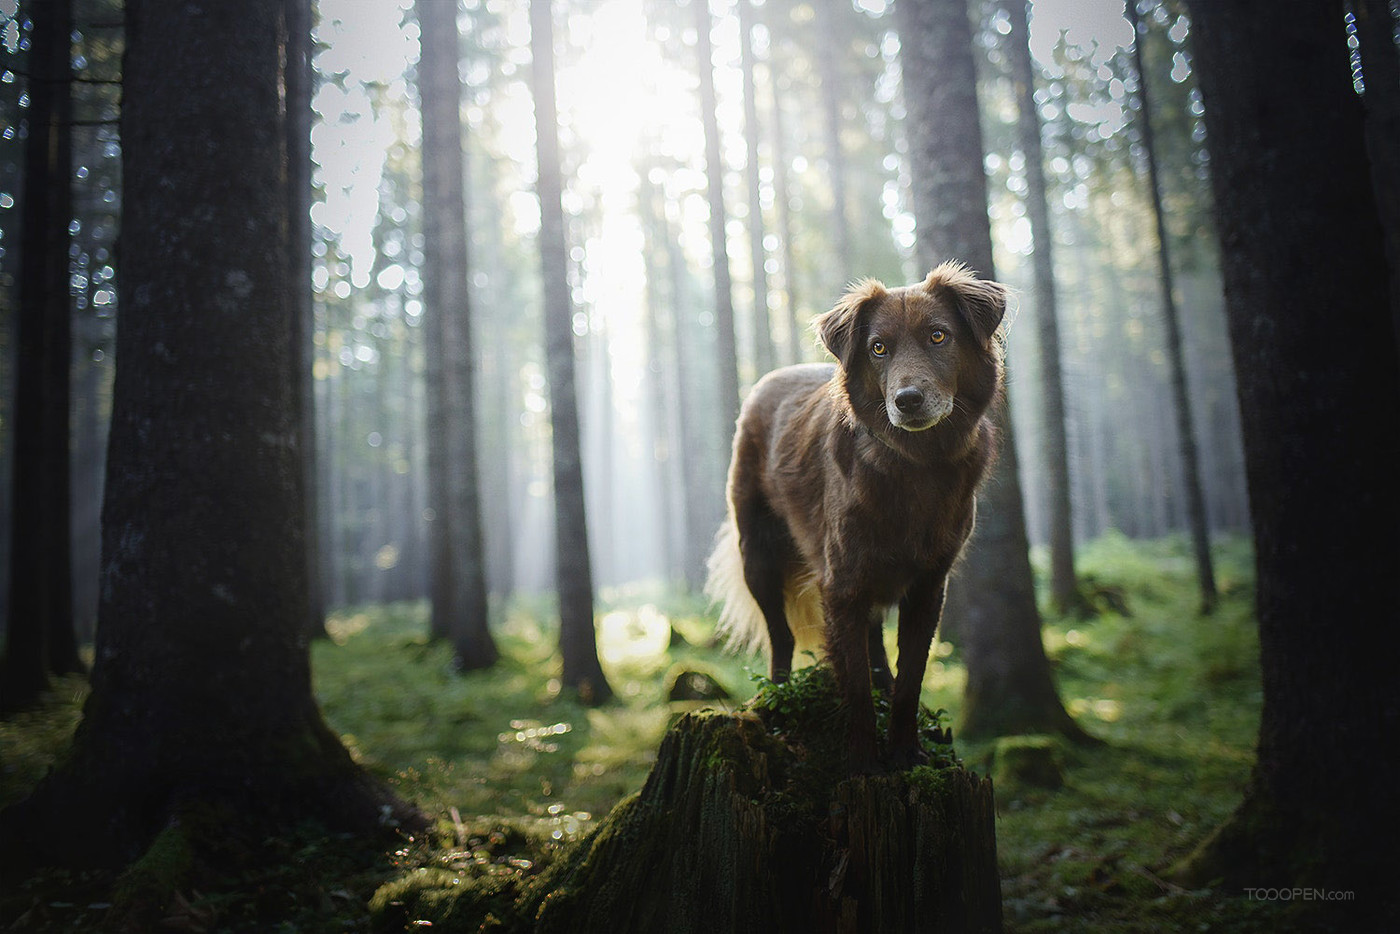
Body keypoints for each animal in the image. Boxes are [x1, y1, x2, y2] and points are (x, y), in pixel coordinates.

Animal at [711, 264, 1008, 772]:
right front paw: (865, 760)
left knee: (873, 643)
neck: (917, 464)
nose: (907, 400)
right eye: (878, 348)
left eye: (938, 336)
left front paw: (905, 751)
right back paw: (776, 698)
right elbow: (853, 685)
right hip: (759, 558)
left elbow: (910, 678)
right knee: (781, 637)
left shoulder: (928, 586)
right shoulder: (841, 586)